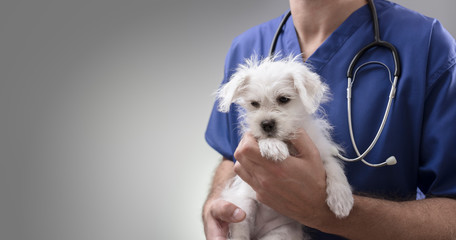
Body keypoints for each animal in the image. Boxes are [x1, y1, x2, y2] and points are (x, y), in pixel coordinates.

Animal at [216, 55, 352, 240]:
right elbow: (262, 138)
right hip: (243, 207)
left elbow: (334, 167)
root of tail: (259, 232)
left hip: (281, 233)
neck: (287, 140)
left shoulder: (320, 151)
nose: (266, 124)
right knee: (241, 233)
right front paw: (272, 145)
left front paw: (341, 198)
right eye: (254, 104)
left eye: (283, 99)